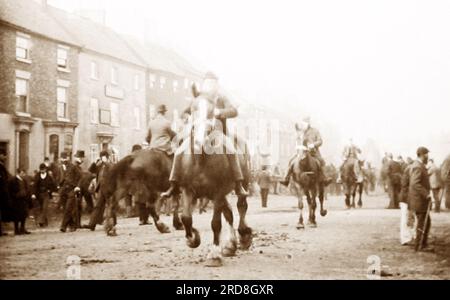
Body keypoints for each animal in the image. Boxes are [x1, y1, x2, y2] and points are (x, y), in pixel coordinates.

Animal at [176, 95, 253, 268]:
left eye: (211, 111)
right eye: (192, 109)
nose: (199, 138)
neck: (201, 159)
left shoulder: (218, 191)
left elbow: (216, 223)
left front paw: (214, 256)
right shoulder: (188, 190)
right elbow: (186, 218)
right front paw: (192, 238)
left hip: (241, 183)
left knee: (241, 206)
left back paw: (244, 235)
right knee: (229, 212)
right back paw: (230, 245)